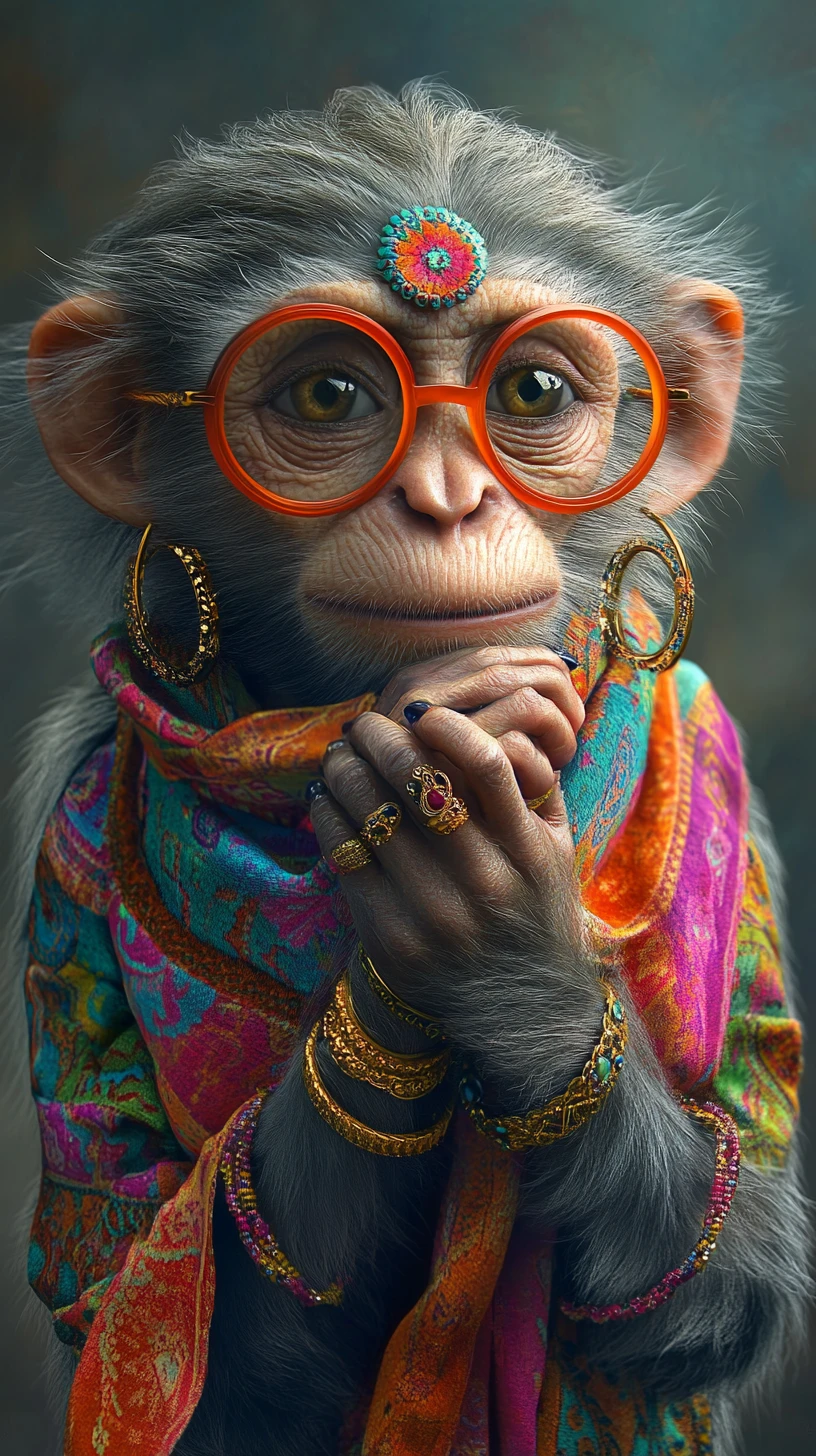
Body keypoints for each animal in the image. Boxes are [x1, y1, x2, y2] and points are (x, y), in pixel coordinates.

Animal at [1, 81, 808, 1456]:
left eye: (530, 388)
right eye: (331, 396)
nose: (444, 500)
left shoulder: (722, 778)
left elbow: (722, 1274)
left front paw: (510, 951)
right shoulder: (70, 831)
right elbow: (129, 1298)